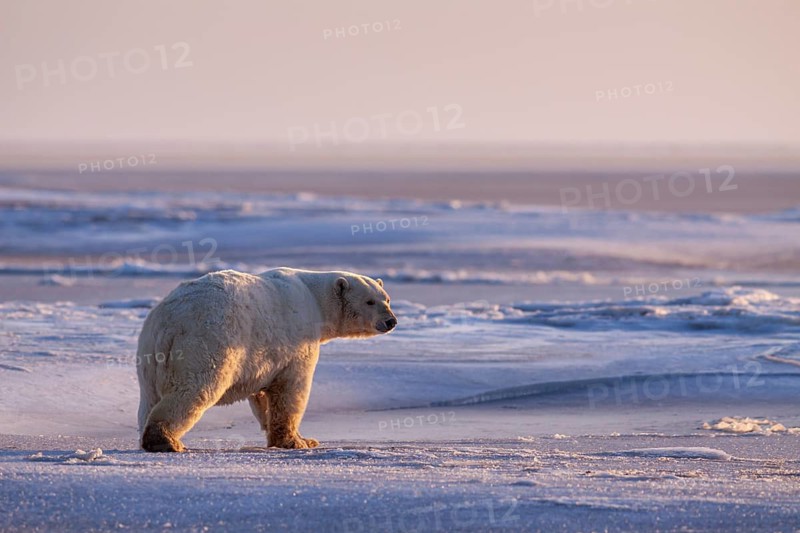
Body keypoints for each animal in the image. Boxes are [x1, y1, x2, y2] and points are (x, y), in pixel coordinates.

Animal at [136, 268, 396, 452]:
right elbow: (291, 391)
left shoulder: (263, 357)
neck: (315, 299)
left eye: (387, 299)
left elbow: (262, 394)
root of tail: (169, 322)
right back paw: (165, 441)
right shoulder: (297, 341)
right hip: (205, 342)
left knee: (149, 398)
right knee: (194, 389)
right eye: (369, 301)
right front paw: (298, 441)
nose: (391, 321)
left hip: (149, 354)